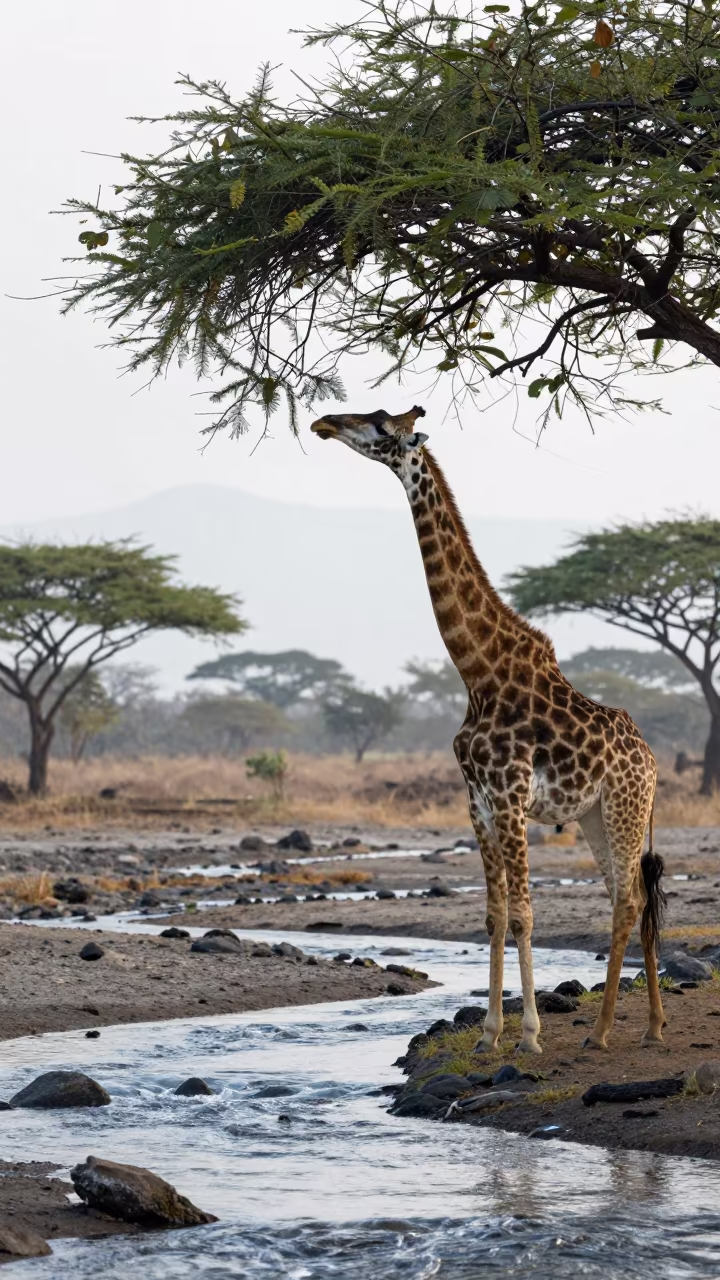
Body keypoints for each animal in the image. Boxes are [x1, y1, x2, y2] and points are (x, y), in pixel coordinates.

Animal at [311, 404, 667, 1055]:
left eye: (380, 424)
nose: (324, 423)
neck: (477, 673)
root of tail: (652, 761)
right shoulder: (475, 801)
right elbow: (495, 915)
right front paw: (489, 1034)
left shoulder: (509, 797)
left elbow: (524, 914)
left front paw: (528, 1035)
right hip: (595, 816)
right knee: (626, 897)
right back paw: (651, 1024)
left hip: (624, 809)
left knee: (629, 899)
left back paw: (602, 1030)